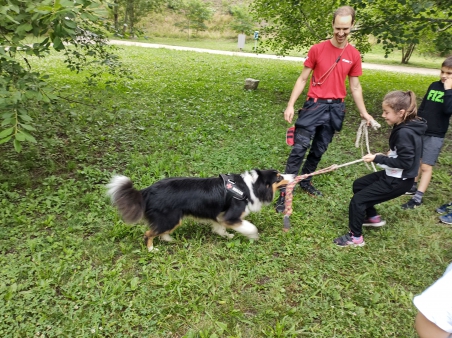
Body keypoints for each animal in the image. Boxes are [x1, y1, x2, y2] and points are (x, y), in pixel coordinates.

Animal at [107, 169, 294, 251]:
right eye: (279, 177)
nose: (293, 175)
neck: (250, 187)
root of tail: (146, 191)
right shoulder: (231, 215)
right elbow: (249, 226)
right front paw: (254, 236)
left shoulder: (220, 216)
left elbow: (220, 227)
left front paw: (227, 235)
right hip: (170, 218)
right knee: (148, 233)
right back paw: (152, 249)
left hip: (173, 219)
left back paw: (169, 239)